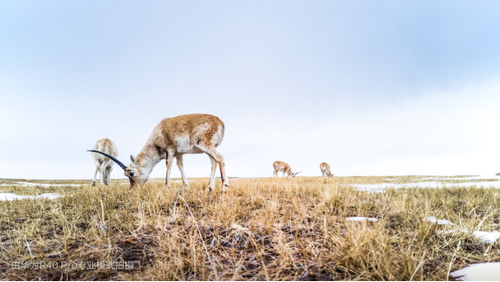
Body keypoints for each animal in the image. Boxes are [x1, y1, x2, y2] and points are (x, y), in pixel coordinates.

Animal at [89, 114, 229, 192]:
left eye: (131, 173)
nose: (133, 188)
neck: (158, 131)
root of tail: (220, 122)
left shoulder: (170, 150)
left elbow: (168, 165)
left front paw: (166, 187)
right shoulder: (179, 154)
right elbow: (180, 166)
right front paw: (186, 186)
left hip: (203, 144)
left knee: (220, 158)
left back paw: (224, 187)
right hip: (207, 148)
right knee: (214, 162)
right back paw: (210, 188)